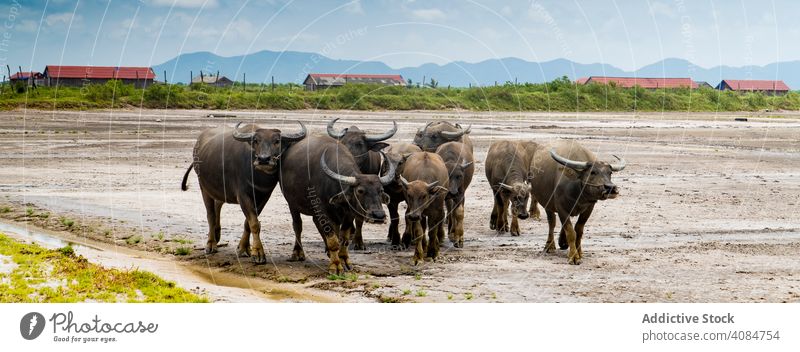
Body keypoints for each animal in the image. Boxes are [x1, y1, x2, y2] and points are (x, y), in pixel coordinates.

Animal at [180, 120, 306, 262]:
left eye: (277, 141)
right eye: (256, 140)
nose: (263, 159)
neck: (258, 177)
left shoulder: (263, 197)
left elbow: (248, 223)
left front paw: (244, 248)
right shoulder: (242, 196)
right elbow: (255, 224)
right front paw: (258, 253)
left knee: (218, 204)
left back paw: (217, 234)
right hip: (203, 186)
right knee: (210, 215)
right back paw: (211, 244)